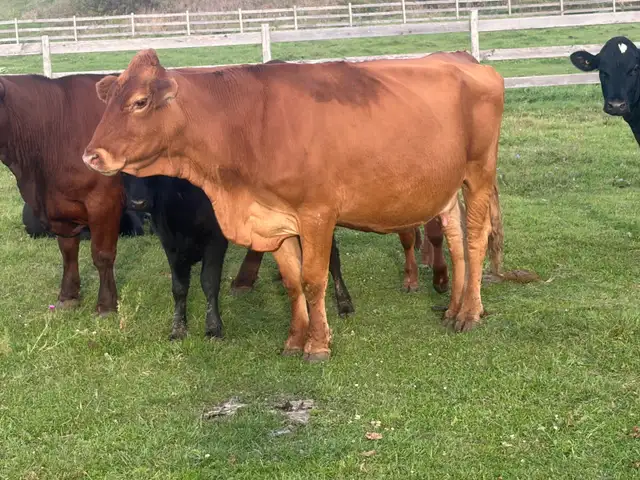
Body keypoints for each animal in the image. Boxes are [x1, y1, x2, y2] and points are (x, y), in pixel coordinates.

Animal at [83, 49, 505, 362]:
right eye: (109, 102)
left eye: (139, 102)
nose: (91, 155)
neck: (249, 125)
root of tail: (467, 63)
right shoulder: (275, 219)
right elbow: (290, 280)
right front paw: (294, 339)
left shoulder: (317, 214)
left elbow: (313, 278)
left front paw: (317, 344)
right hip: (445, 187)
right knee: (454, 241)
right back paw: (453, 308)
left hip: (479, 174)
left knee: (474, 239)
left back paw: (470, 313)